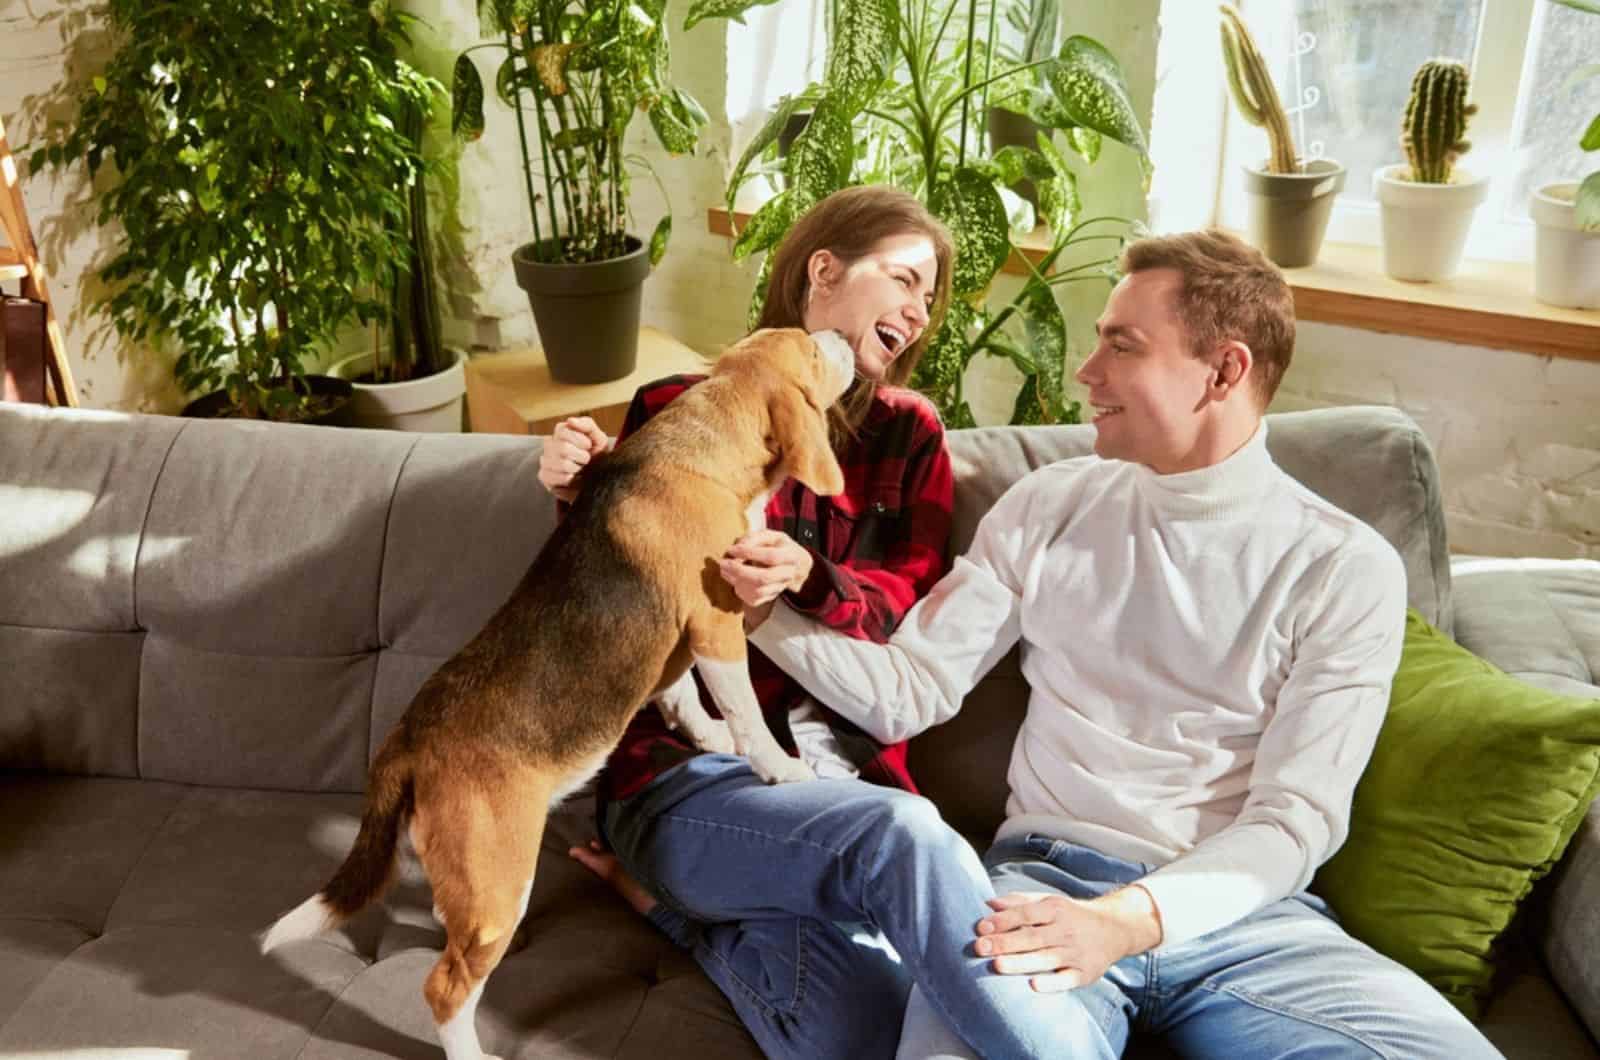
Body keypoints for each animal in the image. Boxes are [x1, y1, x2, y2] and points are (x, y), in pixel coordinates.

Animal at [262, 328, 857, 1060]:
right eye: (812, 352)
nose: (843, 337)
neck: (702, 450)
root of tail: (409, 738)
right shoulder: (717, 625)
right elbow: (742, 708)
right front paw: (779, 768)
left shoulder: (680, 648)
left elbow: (687, 699)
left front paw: (707, 737)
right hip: (500, 880)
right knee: (445, 987)